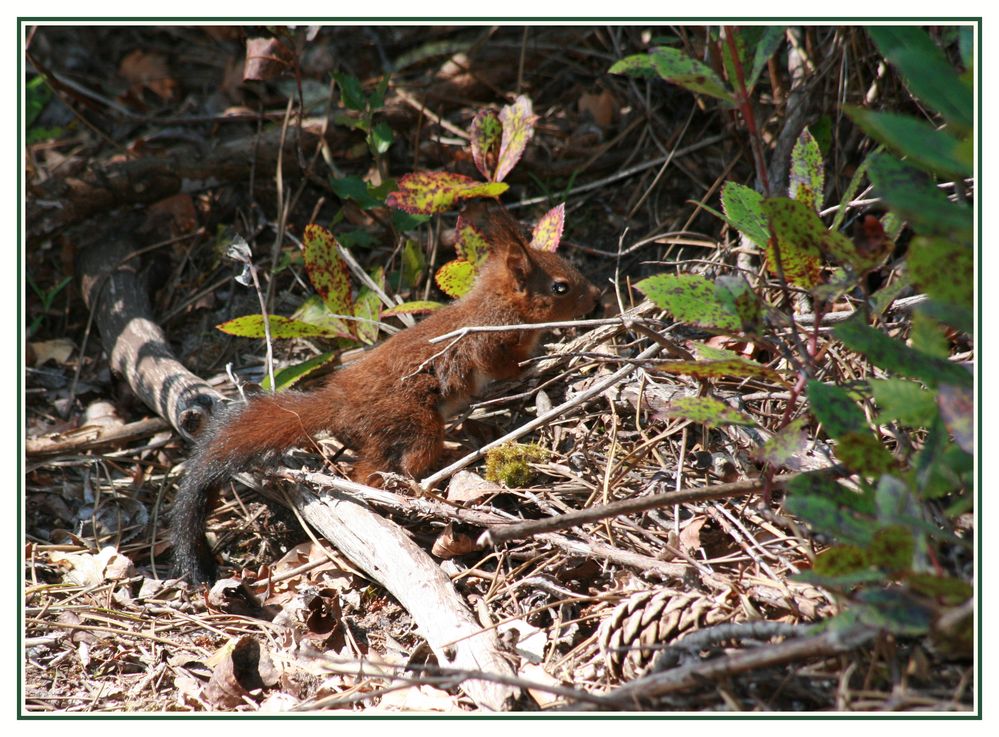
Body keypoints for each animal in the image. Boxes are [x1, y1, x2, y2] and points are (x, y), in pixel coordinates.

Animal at [170, 200, 600, 580]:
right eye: (561, 288)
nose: (596, 298)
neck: (498, 304)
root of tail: (339, 404)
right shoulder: (488, 343)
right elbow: (504, 365)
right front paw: (541, 360)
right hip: (414, 424)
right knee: (383, 467)